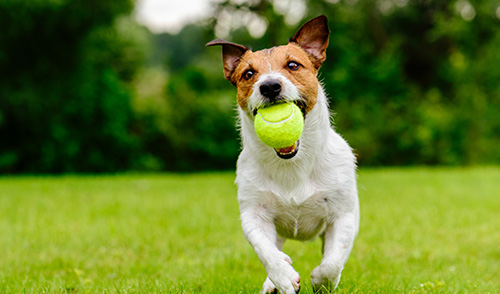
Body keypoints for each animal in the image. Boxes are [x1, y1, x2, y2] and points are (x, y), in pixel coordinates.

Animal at [207, 16, 360, 294]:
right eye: (248, 74)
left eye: (293, 65)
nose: (269, 86)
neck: (292, 163)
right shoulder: (253, 214)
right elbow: (265, 250)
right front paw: (283, 276)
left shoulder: (343, 216)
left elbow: (333, 260)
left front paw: (322, 281)